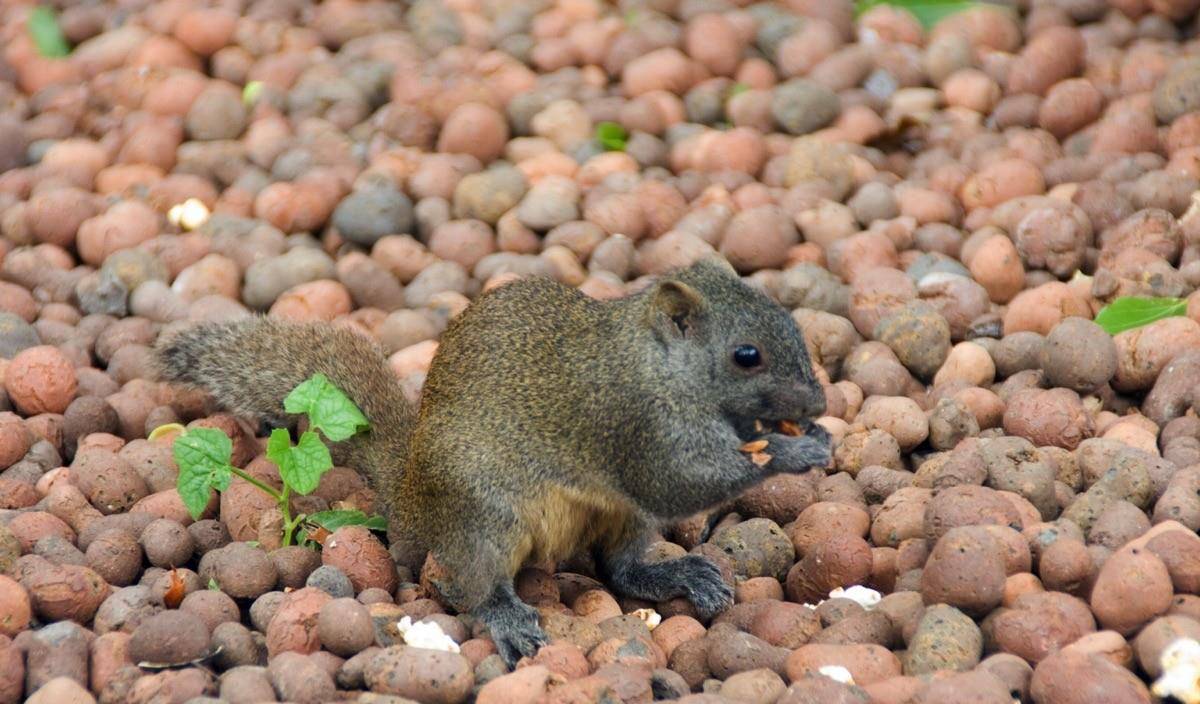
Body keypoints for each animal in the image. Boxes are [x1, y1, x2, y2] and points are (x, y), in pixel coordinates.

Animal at [154, 253, 830, 666]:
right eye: (747, 355)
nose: (819, 400)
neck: (655, 362)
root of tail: (411, 502)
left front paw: (805, 433)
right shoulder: (631, 422)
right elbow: (678, 481)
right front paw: (795, 449)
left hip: (620, 519)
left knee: (620, 569)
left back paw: (676, 575)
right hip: (485, 516)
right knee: (467, 585)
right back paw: (505, 617)